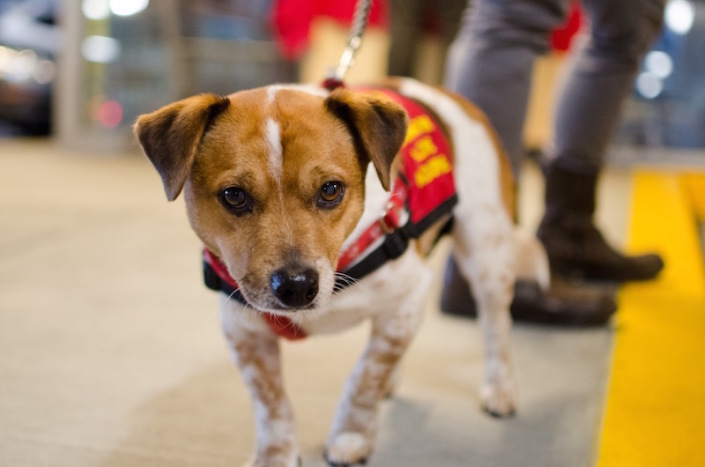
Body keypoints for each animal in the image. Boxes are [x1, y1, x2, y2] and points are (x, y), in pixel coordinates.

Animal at [135, 78, 548, 466]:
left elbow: (364, 376)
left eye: (331, 190)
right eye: (234, 195)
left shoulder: (410, 292)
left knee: (496, 326)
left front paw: (352, 436)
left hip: (486, 254)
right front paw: (276, 454)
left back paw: (500, 387)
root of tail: (446, 94)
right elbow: (271, 401)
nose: (296, 287)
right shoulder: (243, 329)